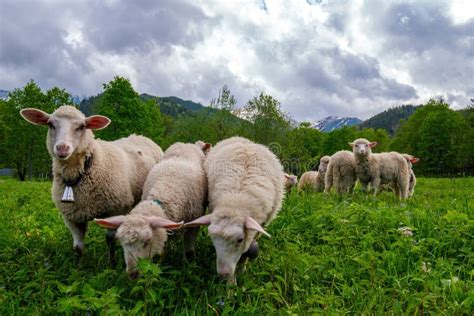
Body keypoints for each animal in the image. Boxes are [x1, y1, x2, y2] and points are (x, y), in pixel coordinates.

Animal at [19, 105, 164, 260]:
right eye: (50, 124)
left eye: (82, 126)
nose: (62, 148)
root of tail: (141, 136)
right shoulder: (72, 217)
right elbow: (78, 247)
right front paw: (78, 265)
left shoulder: (115, 210)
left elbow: (110, 240)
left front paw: (111, 263)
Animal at [95, 142, 207, 278]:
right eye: (121, 242)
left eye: (147, 241)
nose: (133, 274)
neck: (165, 190)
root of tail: (185, 143)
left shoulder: (193, 225)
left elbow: (189, 252)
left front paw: (189, 268)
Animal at [183, 136, 284, 284]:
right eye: (212, 237)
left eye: (240, 239)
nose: (223, 273)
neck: (236, 201)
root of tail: (246, 140)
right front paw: (231, 284)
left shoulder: (260, 226)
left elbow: (247, 251)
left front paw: (241, 270)